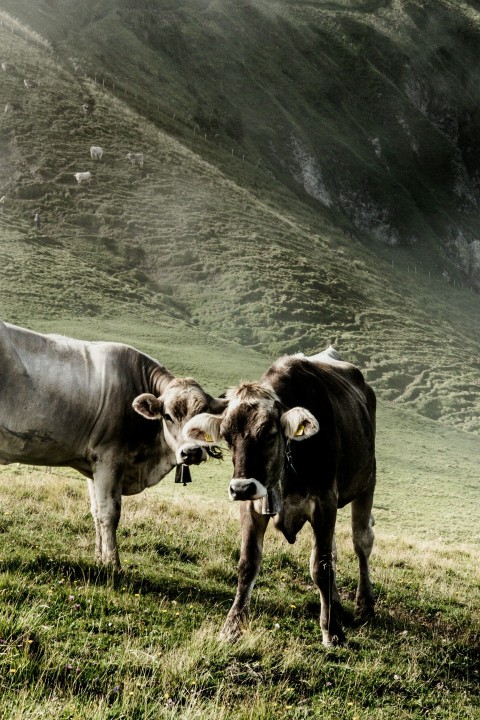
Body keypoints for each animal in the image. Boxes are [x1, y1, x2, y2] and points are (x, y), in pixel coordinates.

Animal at [0, 321, 226, 568]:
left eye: (204, 415)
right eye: (167, 416)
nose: (192, 452)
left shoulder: (93, 466)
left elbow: (96, 512)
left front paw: (99, 559)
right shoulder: (109, 459)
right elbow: (109, 513)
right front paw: (113, 565)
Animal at [184, 347, 377, 646]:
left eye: (268, 433)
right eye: (227, 436)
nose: (240, 488)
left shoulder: (325, 501)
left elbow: (321, 566)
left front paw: (331, 630)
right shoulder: (253, 504)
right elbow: (248, 563)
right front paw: (232, 627)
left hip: (367, 481)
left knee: (361, 542)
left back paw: (364, 604)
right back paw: (335, 602)